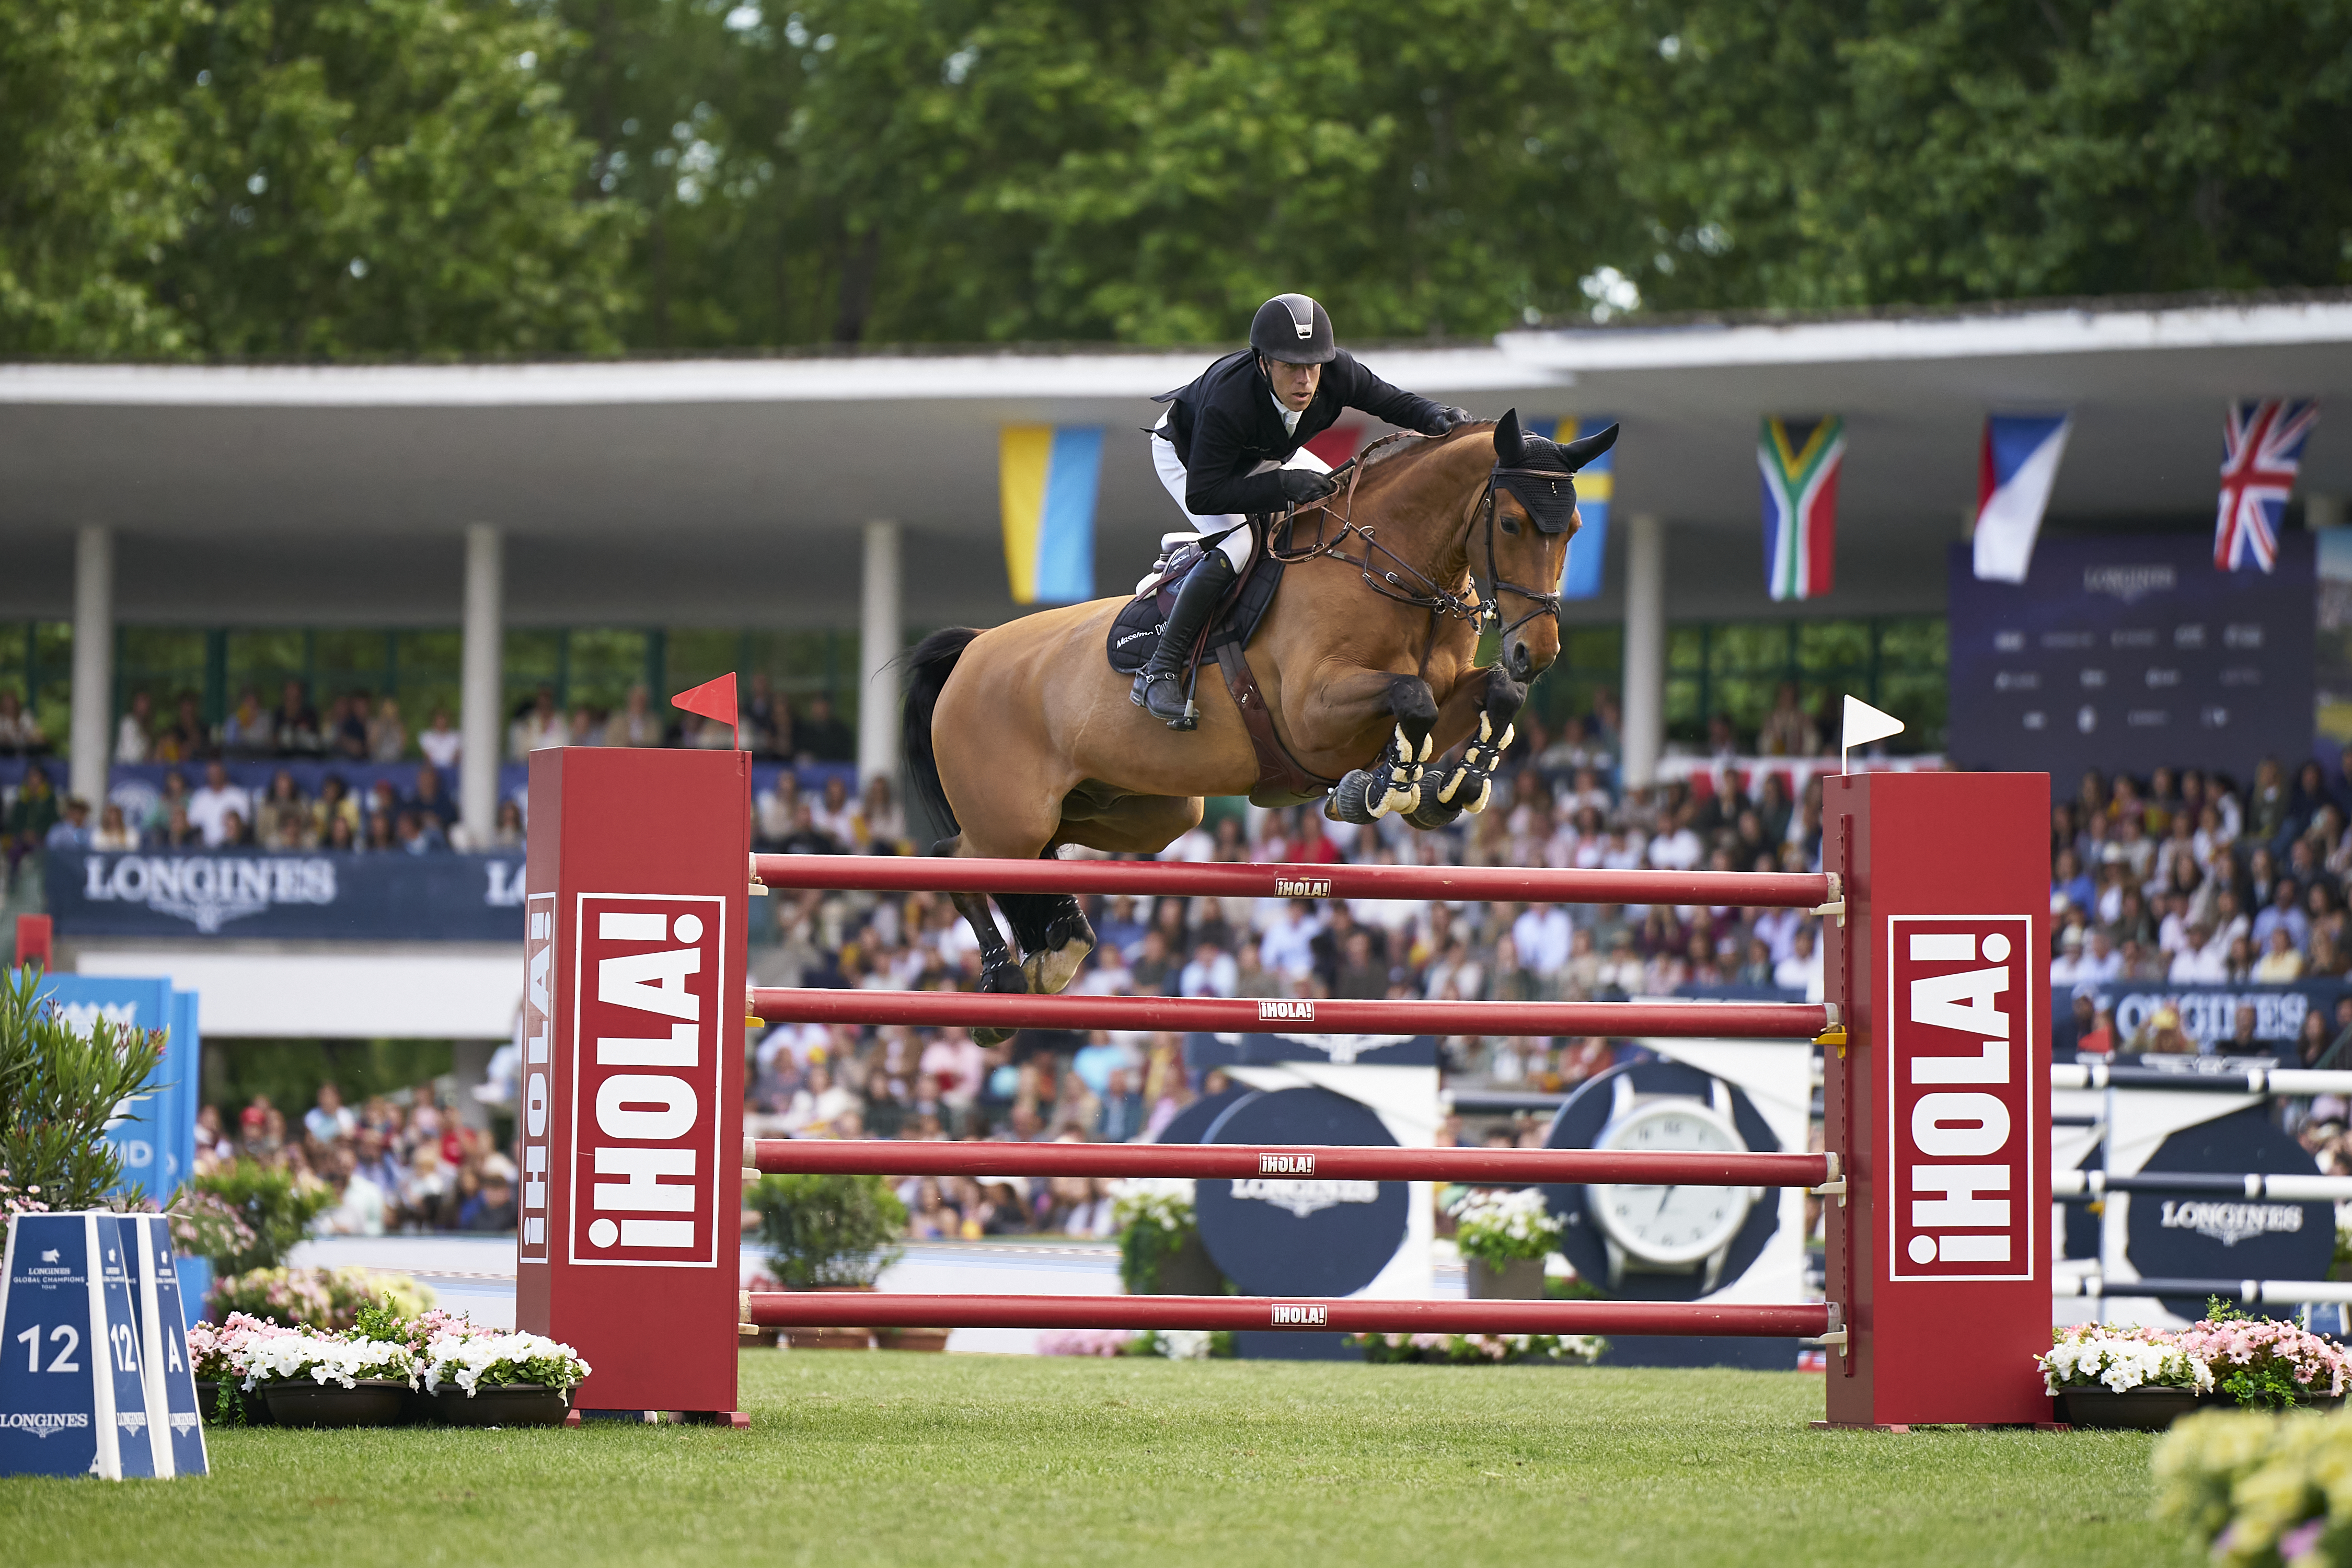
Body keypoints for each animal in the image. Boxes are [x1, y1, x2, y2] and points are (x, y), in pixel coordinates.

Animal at [898, 411, 1618, 1034]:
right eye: (1514, 524)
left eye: (1576, 527)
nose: (1537, 652)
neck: (1392, 569)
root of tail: (975, 648)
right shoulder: (1312, 716)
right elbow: (1412, 699)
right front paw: (1382, 789)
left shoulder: (1441, 692)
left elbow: (1493, 695)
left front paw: (1452, 786)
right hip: (1011, 818)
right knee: (956, 857)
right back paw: (1002, 982)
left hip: (1146, 812)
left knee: (1039, 854)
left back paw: (1057, 946)